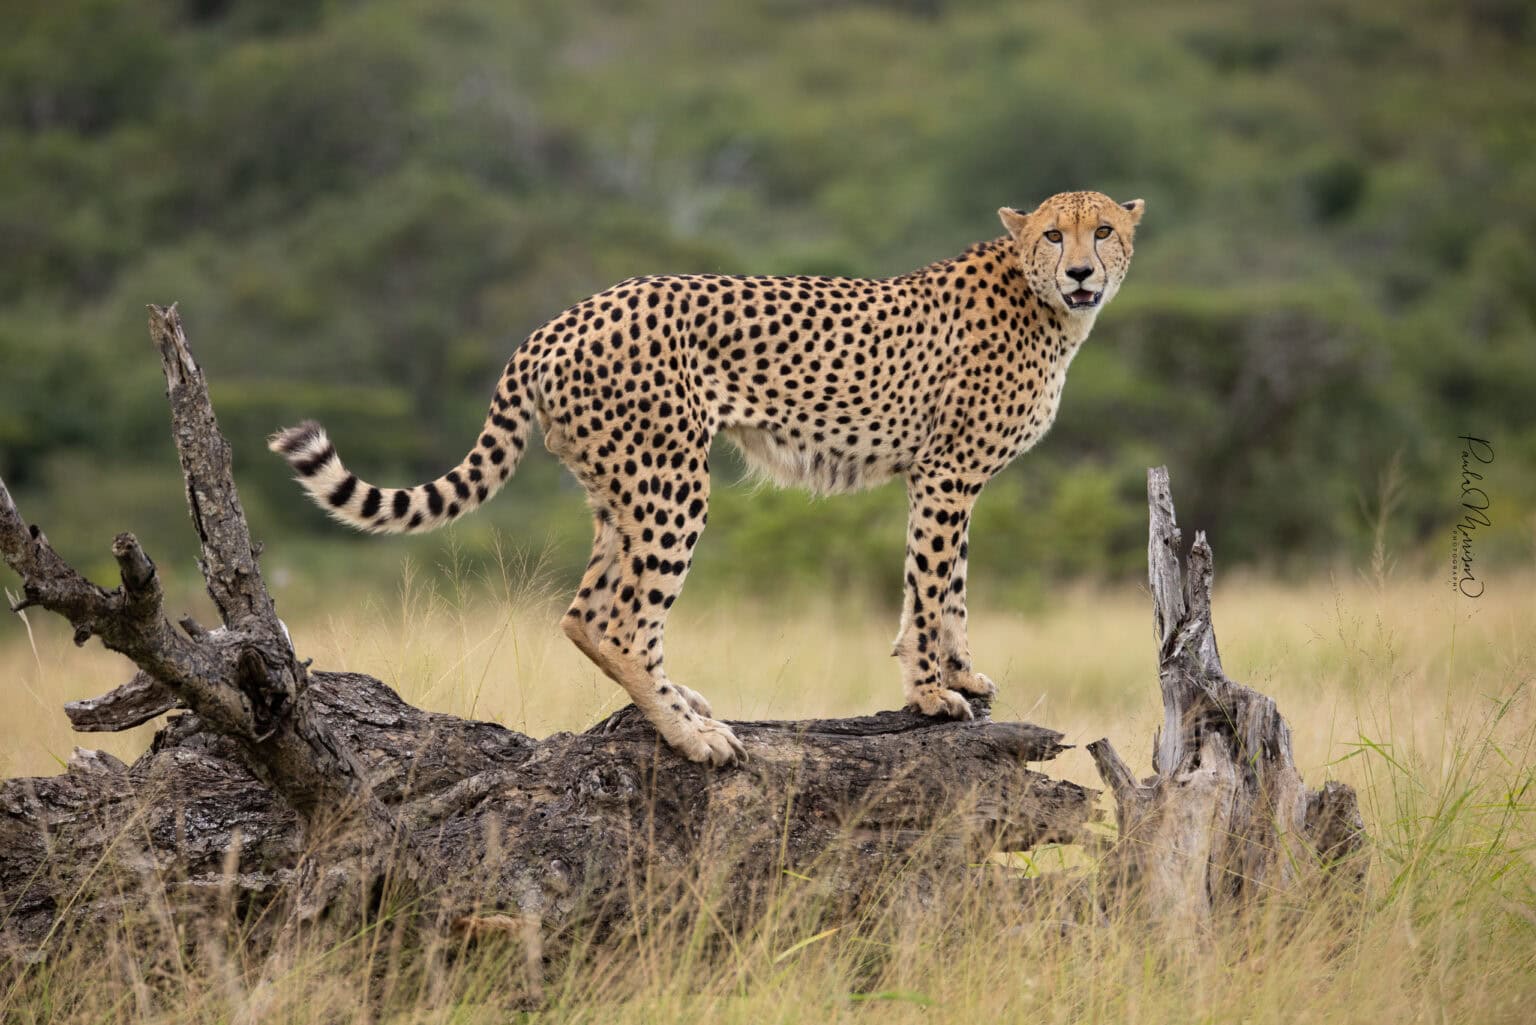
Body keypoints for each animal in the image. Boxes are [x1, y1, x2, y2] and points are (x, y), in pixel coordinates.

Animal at [273, 190, 1142, 768]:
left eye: (1103, 230)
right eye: (1055, 234)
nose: (1081, 273)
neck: (1041, 301)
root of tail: (559, 320)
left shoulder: (938, 477)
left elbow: (942, 588)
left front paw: (959, 674)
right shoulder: (947, 472)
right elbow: (934, 587)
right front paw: (931, 694)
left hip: (619, 487)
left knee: (586, 614)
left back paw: (681, 705)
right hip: (672, 479)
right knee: (627, 621)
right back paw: (694, 736)